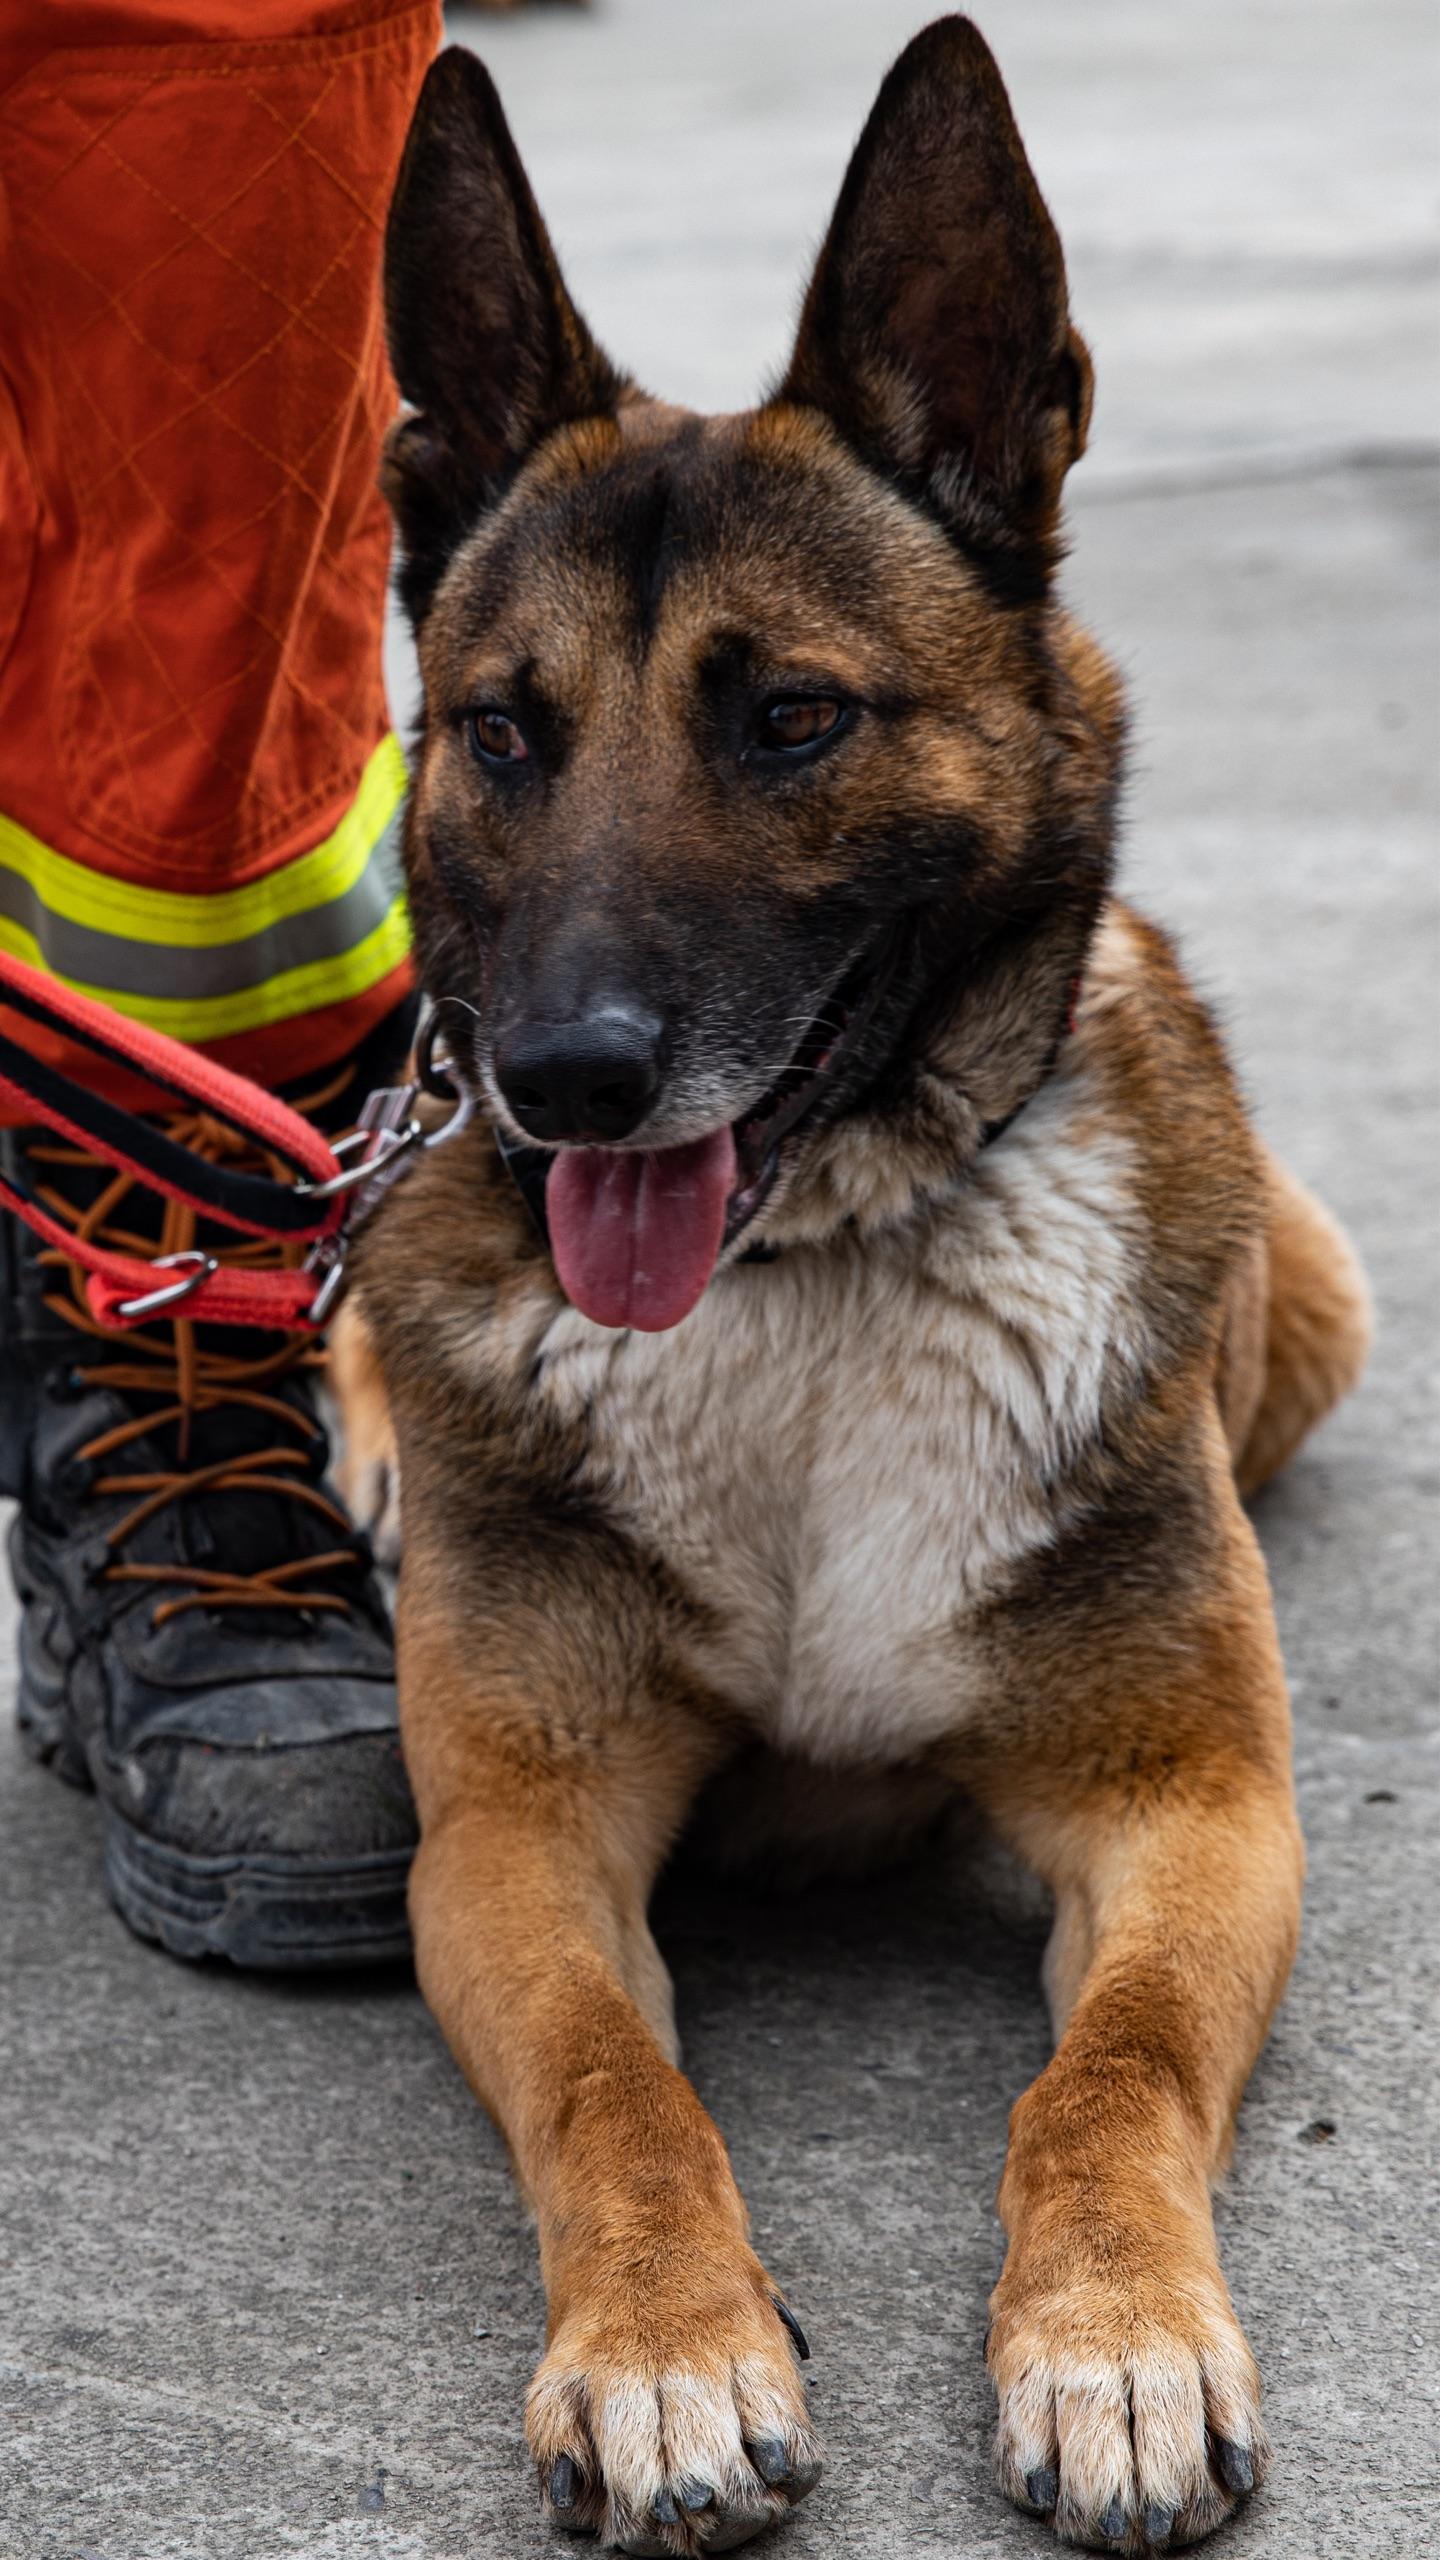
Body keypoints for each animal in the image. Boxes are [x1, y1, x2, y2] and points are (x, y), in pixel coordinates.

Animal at [335, 24, 1363, 2560]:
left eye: (790, 717)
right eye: (501, 728)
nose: (563, 1078)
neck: (800, 1273)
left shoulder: (1190, 1809)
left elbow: (1104, 2076)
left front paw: (1115, 2336)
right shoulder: (512, 1841)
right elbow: (614, 2081)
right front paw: (667, 2351)